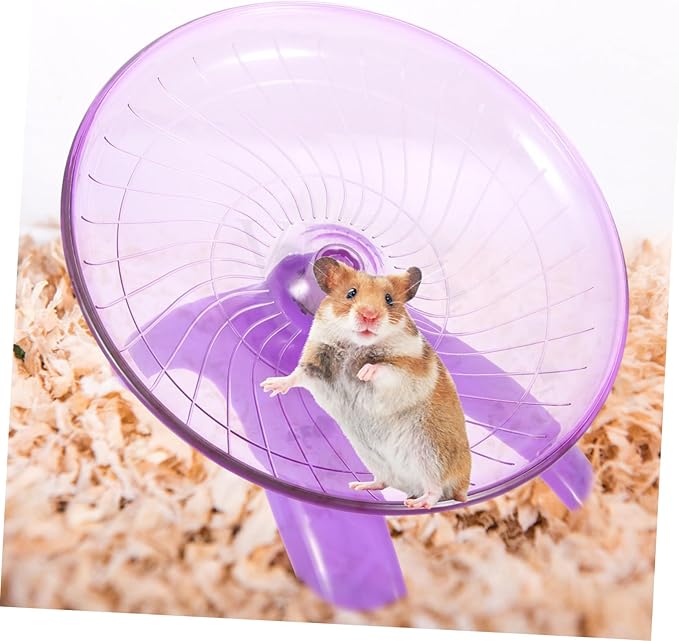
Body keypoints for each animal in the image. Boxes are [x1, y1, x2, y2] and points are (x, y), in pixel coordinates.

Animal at [260, 257, 471, 509]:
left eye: (389, 299)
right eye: (351, 293)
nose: (369, 315)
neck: (356, 344)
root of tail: (463, 487)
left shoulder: (409, 370)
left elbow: (385, 368)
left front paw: (363, 373)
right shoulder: (316, 363)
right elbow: (296, 375)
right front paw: (268, 386)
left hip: (431, 455)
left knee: (436, 490)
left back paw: (416, 504)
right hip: (374, 459)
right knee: (384, 481)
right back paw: (359, 486)